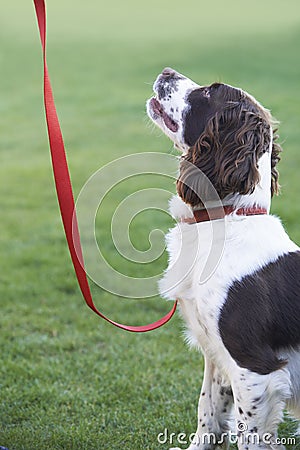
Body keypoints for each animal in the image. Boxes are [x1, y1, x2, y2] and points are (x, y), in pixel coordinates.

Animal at [147, 67, 300, 450]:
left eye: (209, 92)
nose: (166, 71)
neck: (224, 218)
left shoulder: (255, 369)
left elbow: (247, 434)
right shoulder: (217, 355)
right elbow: (208, 412)